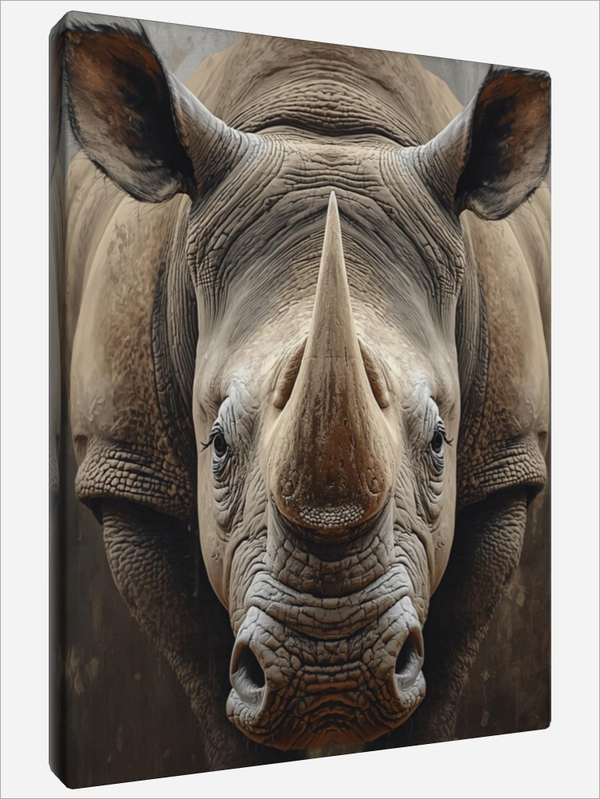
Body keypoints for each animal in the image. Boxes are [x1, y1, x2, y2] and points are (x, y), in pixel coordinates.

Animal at [60, 20, 550, 768]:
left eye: (441, 442)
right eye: (217, 444)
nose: (332, 676)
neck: (326, 118)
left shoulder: (504, 461)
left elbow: (443, 676)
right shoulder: (128, 466)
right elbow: (206, 678)